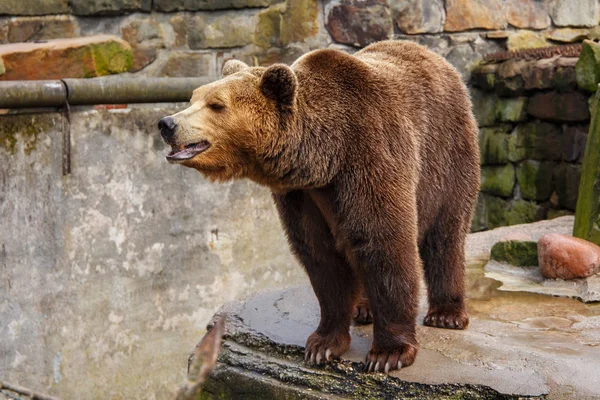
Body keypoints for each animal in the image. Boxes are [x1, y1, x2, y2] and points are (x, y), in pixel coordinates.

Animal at [158, 39, 478, 372]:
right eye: (193, 97)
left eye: (216, 104)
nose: (167, 123)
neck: (325, 157)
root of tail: (434, 57)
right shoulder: (301, 195)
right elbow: (320, 257)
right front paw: (322, 345)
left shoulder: (371, 156)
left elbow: (382, 242)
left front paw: (388, 353)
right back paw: (363, 309)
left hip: (446, 155)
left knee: (445, 234)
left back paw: (446, 313)